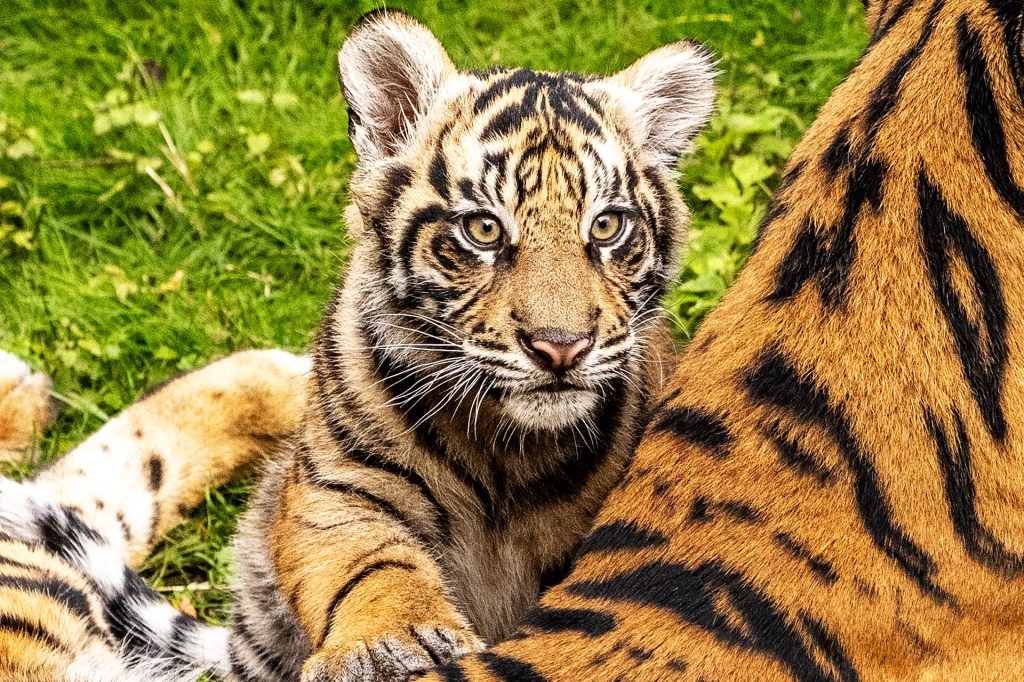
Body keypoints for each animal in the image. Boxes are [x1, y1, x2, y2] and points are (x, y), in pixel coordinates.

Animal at [227, 10, 716, 682]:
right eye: (483, 229)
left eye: (606, 226)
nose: (561, 348)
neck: (502, 452)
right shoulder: (336, 486)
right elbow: (368, 564)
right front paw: (389, 643)